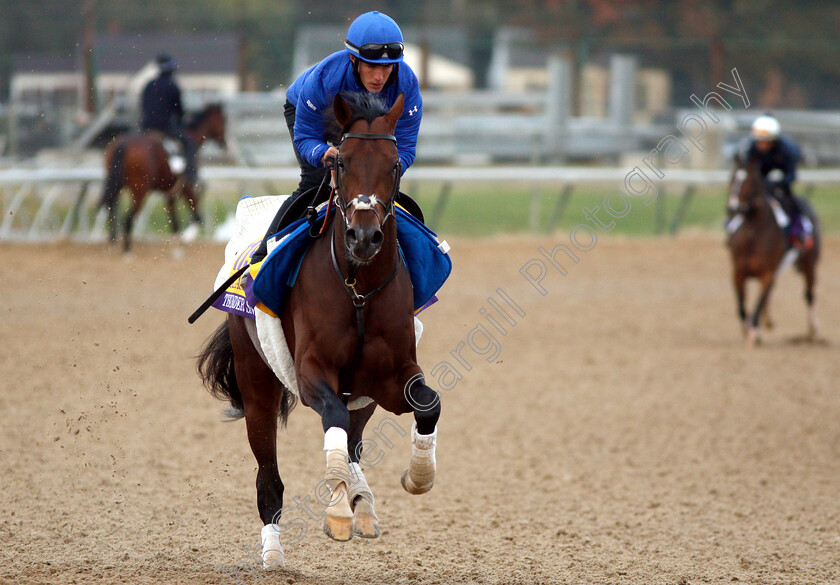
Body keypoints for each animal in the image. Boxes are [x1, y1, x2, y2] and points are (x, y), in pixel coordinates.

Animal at [97, 102, 226, 251]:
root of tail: (123, 143)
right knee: (127, 218)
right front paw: (186, 238)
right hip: (140, 191)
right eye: (223, 121)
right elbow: (197, 218)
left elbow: (175, 222)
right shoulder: (186, 188)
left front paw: (178, 247)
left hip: (116, 185)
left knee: (111, 209)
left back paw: (113, 243)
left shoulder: (170, 193)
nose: (225, 143)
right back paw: (127, 250)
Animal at [196, 93, 440, 568]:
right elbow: (333, 420)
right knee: (269, 476)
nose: (363, 236)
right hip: (258, 382)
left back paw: (363, 502)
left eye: (394, 166)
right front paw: (337, 511)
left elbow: (428, 404)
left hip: (360, 393)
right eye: (341, 161)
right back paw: (273, 552)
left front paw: (417, 477)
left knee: (356, 438)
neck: (358, 287)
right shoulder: (311, 372)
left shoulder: (389, 375)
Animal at [720, 156, 820, 346]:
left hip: (810, 264)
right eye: (732, 177)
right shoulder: (737, 273)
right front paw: (748, 329)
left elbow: (758, 304)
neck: (753, 237)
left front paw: (753, 333)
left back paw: (812, 331)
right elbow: (741, 306)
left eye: (750, 181)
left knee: (809, 294)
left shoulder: (767, 274)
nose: (732, 207)